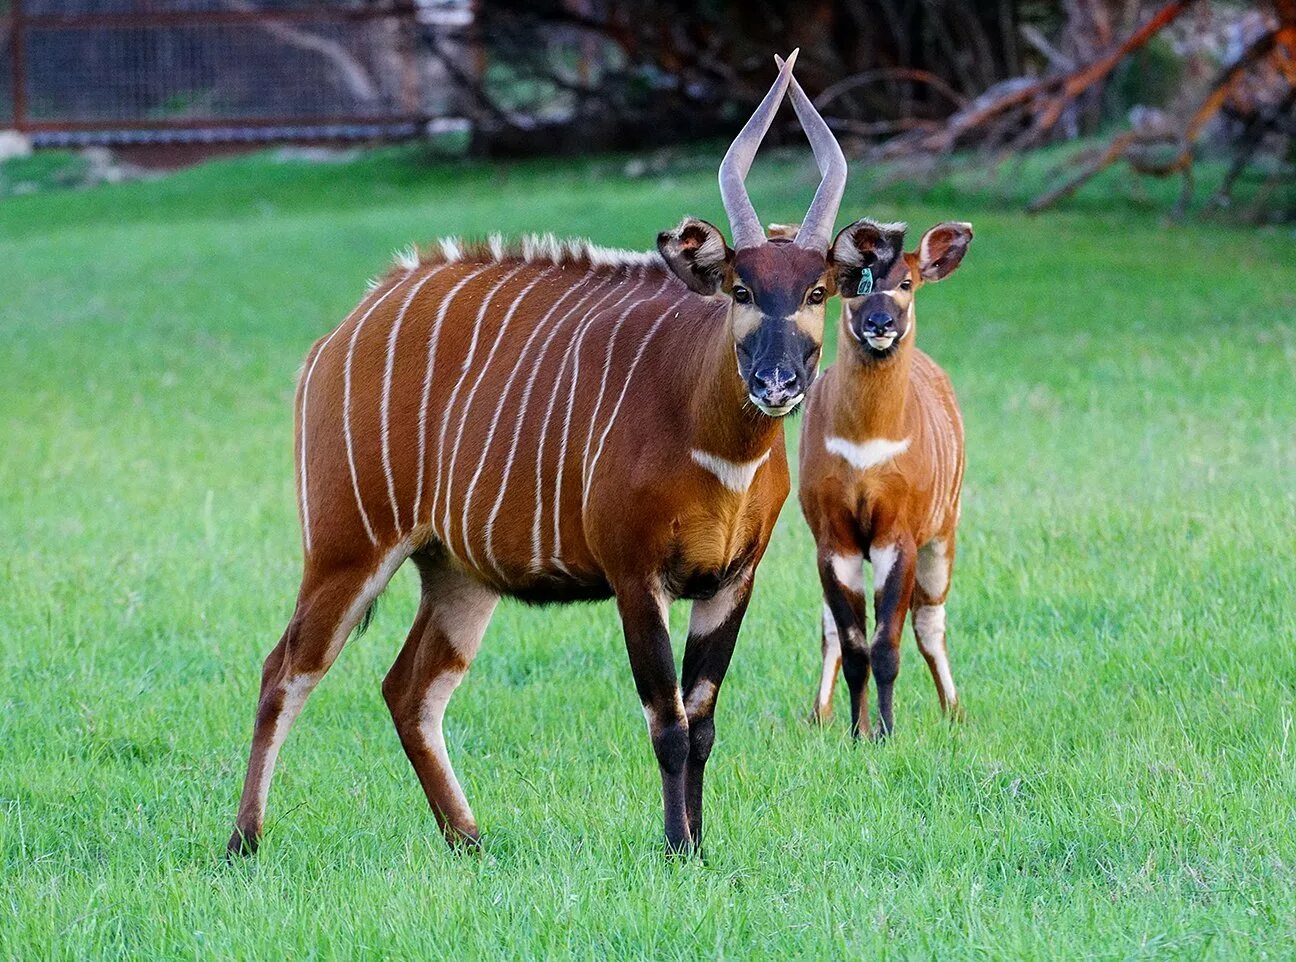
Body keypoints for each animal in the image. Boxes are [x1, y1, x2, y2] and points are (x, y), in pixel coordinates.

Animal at [226, 48, 844, 855]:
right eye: (740, 288)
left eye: (818, 292)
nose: (777, 382)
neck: (709, 434)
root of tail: (341, 331)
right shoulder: (635, 576)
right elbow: (668, 722)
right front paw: (677, 849)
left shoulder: (732, 581)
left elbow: (703, 721)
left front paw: (700, 846)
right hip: (346, 547)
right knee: (286, 670)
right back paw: (244, 842)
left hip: (456, 571)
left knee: (409, 687)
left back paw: (469, 838)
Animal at [798, 216, 974, 736]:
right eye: (852, 284)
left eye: (906, 282)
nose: (881, 325)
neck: (867, 442)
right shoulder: (833, 539)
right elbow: (853, 644)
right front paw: (858, 733)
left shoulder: (899, 536)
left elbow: (887, 646)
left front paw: (885, 733)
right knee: (833, 630)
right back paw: (820, 715)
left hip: (943, 535)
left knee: (930, 622)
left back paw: (953, 710)